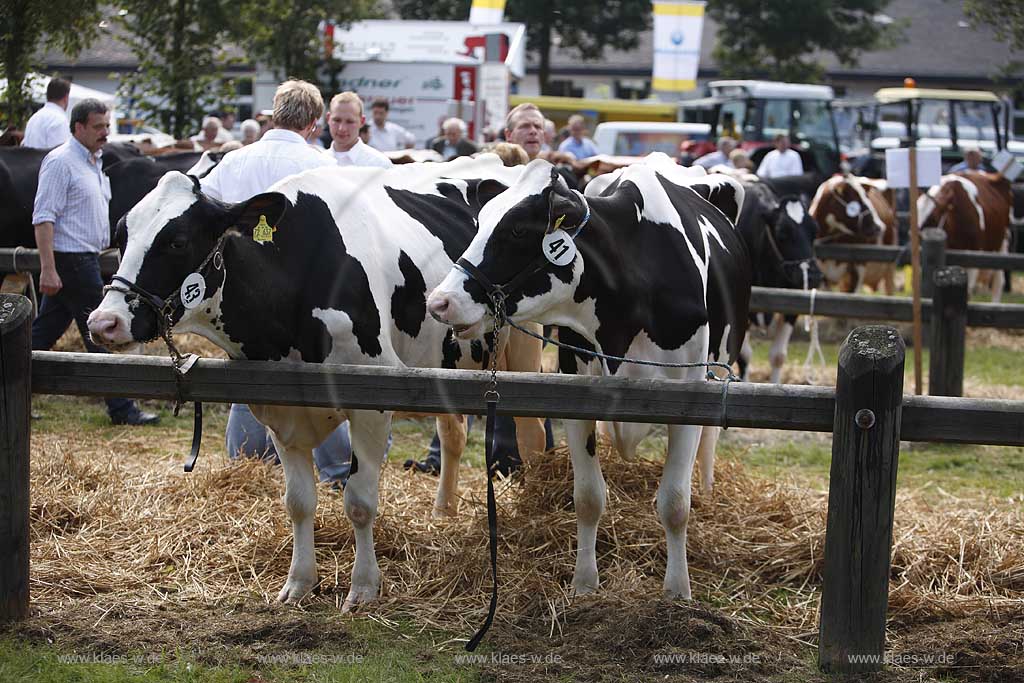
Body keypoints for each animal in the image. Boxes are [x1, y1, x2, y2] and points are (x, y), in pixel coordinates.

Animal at [89, 156, 532, 614]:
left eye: (177, 241)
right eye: (121, 233)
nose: (104, 322)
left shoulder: (372, 402)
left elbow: (359, 502)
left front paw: (363, 588)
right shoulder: (278, 406)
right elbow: (298, 502)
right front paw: (300, 582)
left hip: (525, 346)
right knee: (453, 433)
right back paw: (443, 512)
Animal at [423, 158, 753, 598]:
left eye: (518, 230)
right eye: (478, 223)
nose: (439, 302)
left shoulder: (687, 398)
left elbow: (675, 503)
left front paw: (677, 590)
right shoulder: (576, 397)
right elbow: (588, 498)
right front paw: (584, 583)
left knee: (709, 446)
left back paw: (710, 494)